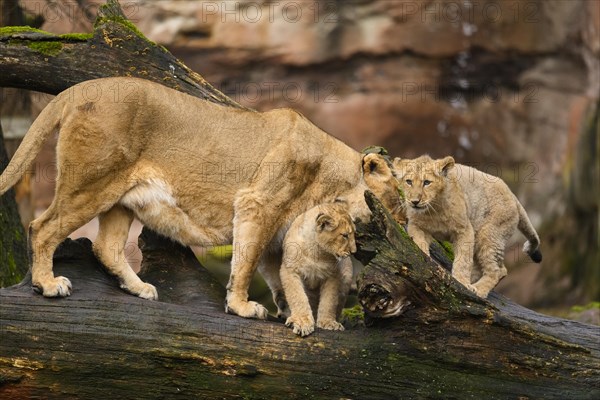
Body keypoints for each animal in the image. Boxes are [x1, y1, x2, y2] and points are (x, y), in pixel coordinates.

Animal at [1, 77, 404, 318]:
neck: (330, 178)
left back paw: (140, 289)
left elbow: (273, 269)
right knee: (42, 227)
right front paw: (242, 307)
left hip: (119, 197)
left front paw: (287, 311)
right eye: (396, 205)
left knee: (107, 247)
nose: (400, 233)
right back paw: (47, 284)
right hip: (90, 183)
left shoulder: (277, 230)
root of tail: (77, 88)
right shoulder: (257, 205)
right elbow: (245, 262)